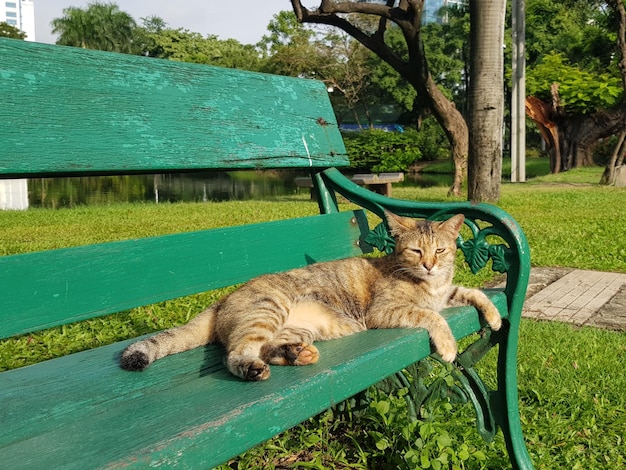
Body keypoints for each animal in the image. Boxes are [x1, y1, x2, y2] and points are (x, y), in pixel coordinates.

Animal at [119, 211, 500, 380]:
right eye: (415, 251)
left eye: (441, 250)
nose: (430, 266)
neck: (430, 285)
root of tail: (224, 299)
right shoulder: (385, 311)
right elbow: (430, 315)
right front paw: (448, 346)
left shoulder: (447, 292)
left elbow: (473, 291)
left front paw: (495, 316)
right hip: (268, 310)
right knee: (237, 353)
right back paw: (252, 368)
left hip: (300, 327)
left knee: (268, 346)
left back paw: (294, 354)